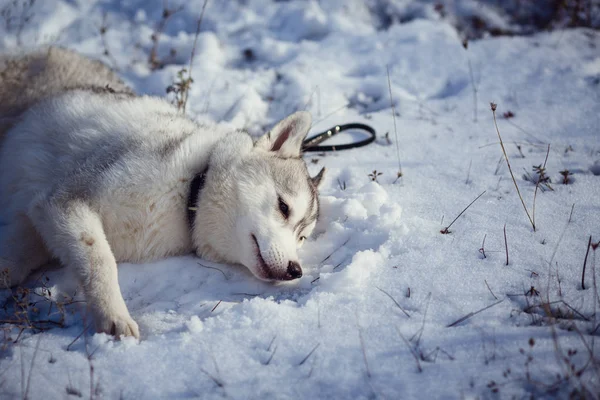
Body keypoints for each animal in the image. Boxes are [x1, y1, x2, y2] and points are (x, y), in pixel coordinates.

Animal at [0, 48, 324, 340]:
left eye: (302, 237)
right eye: (283, 207)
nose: (295, 270)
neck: (189, 193)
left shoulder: (41, 217)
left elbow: (19, 256)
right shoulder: (64, 201)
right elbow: (100, 260)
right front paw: (114, 315)